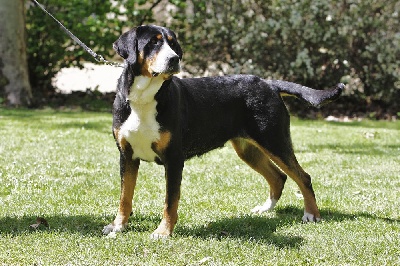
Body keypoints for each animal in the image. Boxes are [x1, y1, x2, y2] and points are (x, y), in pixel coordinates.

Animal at [101, 23, 342, 238]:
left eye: (173, 45)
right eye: (153, 42)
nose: (174, 59)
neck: (144, 98)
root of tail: (268, 83)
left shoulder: (174, 159)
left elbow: (170, 201)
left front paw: (163, 232)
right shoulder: (127, 156)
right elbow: (125, 196)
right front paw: (117, 226)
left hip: (274, 140)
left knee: (303, 176)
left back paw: (311, 214)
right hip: (249, 149)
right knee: (278, 177)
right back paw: (265, 209)